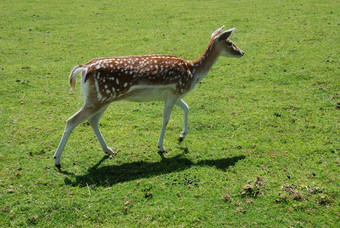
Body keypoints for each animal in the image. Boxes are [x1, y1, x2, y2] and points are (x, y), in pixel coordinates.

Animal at [52, 25, 244, 168]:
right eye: (230, 42)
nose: (242, 52)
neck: (193, 72)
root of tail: (83, 69)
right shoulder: (174, 92)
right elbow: (166, 119)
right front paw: (161, 147)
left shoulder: (173, 95)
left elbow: (187, 108)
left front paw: (181, 137)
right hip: (97, 99)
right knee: (71, 120)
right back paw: (57, 160)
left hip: (103, 99)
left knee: (92, 120)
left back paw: (109, 150)